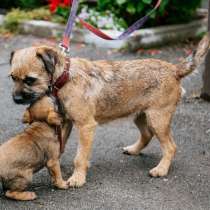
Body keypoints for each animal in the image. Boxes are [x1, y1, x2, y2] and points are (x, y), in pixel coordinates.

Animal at [9, 33, 210, 188]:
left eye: (30, 80)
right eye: (12, 77)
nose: (16, 99)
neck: (65, 77)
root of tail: (174, 69)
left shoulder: (86, 126)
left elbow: (80, 157)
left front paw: (77, 178)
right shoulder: (65, 122)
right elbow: (60, 145)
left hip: (157, 119)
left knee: (170, 147)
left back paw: (161, 169)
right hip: (141, 115)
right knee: (146, 135)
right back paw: (134, 150)